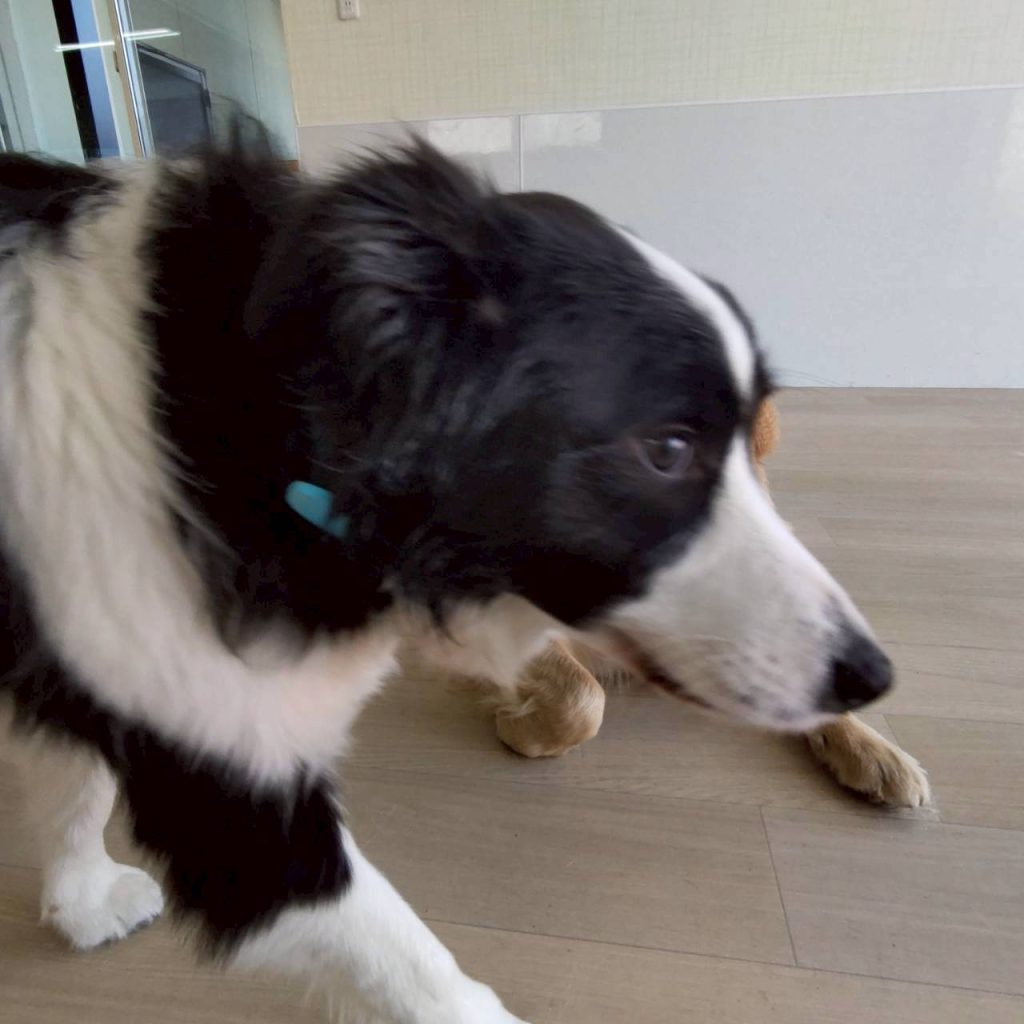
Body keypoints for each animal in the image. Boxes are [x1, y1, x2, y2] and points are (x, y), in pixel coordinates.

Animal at [1, 137, 898, 1023]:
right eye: (669, 449)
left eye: (754, 446)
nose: (872, 676)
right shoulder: (235, 792)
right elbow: (430, 985)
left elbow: (75, 769)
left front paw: (82, 901)